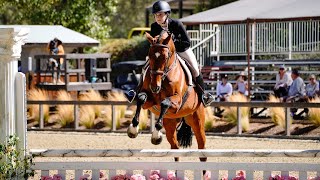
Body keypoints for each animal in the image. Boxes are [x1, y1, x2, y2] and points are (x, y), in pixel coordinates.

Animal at [126, 31, 206, 162]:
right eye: (150, 55)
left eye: (165, 56)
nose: (155, 87)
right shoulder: (149, 100)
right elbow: (141, 99)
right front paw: (133, 129)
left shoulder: (177, 101)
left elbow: (165, 103)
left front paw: (156, 135)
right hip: (170, 123)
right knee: (175, 148)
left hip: (197, 121)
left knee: (202, 148)